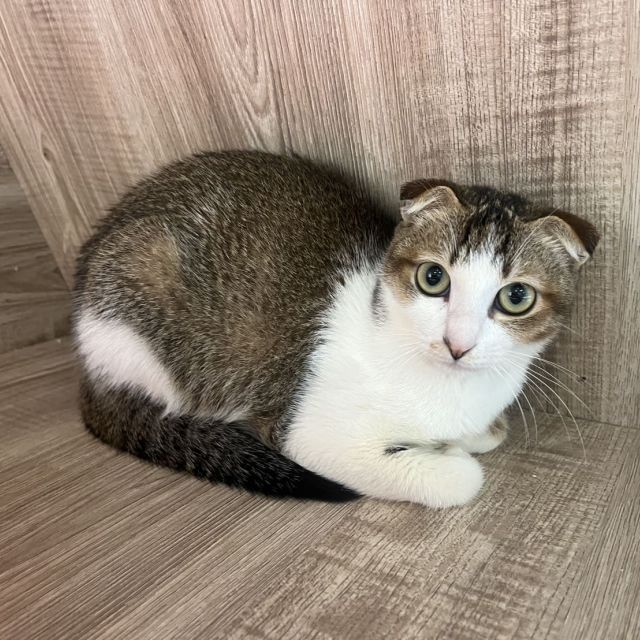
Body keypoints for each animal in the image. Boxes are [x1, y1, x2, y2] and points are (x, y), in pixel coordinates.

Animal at [73, 150, 598, 508]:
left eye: (516, 297)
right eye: (434, 278)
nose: (457, 344)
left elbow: (490, 433)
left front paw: (463, 436)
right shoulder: (302, 433)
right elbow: (461, 479)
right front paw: (444, 457)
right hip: (142, 285)